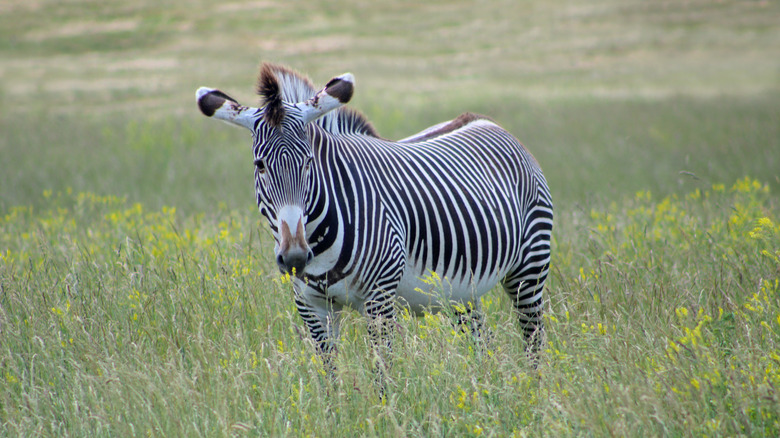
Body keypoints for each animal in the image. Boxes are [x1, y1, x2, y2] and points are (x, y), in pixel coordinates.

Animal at [198, 62, 556, 380]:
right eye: (259, 165)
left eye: (309, 162)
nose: (296, 257)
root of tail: (487, 122)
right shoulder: (311, 305)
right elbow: (329, 377)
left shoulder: (380, 299)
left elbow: (381, 373)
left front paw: (387, 411)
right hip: (462, 288)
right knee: (482, 341)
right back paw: (484, 389)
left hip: (529, 268)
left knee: (533, 340)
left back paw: (532, 394)